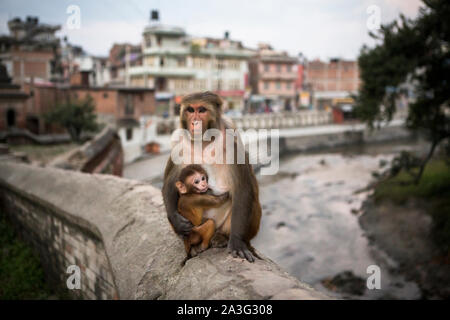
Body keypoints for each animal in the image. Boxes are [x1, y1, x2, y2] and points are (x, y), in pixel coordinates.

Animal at [162, 91, 262, 262]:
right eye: (190, 110)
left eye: (202, 110)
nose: (194, 122)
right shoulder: (178, 140)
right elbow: (169, 183)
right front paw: (177, 220)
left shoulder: (231, 137)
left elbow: (243, 188)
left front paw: (236, 241)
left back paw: (223, 237)